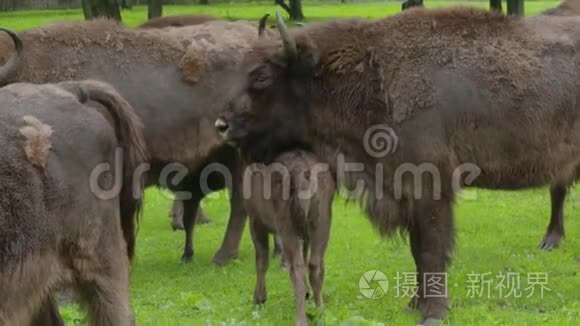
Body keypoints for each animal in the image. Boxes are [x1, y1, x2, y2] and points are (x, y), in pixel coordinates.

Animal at [242, 150, 336, 326]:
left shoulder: (255, 220)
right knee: (314, 263)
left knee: (296, 268)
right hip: (322, 219)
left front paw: (258, 299)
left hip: (286, 222)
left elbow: (261, 261)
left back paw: (300, 318)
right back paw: (320, 311)